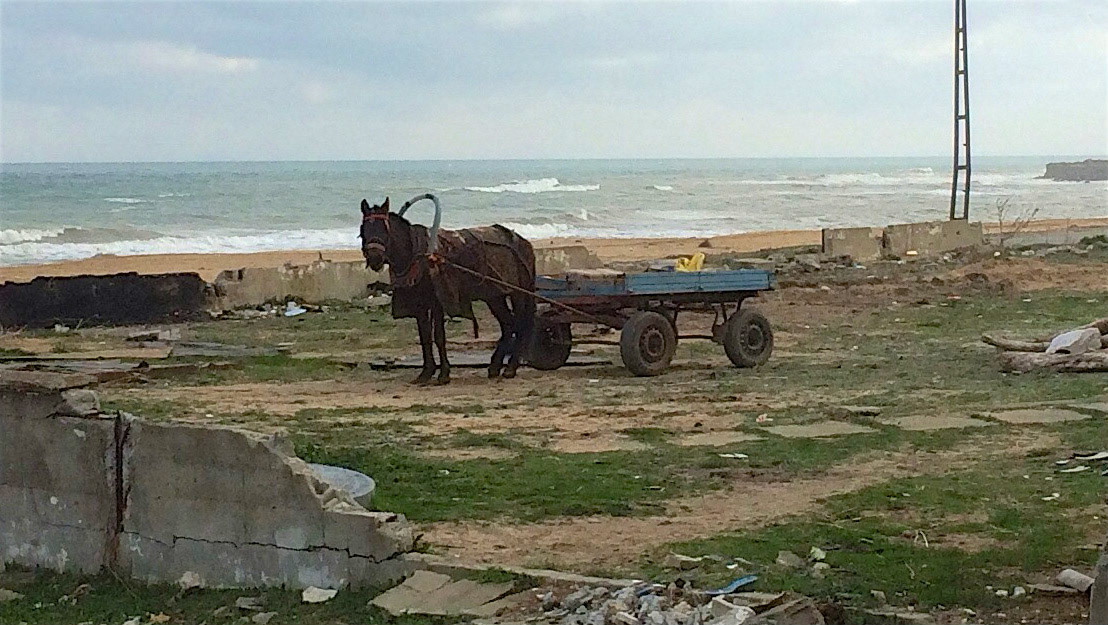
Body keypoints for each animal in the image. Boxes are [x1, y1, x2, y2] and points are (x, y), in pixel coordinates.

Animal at [359, 197, 536, 385]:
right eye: (364, 229)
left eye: (385, 229)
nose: (375, 259)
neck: (419, 256)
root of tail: (524, 242)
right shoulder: (420, 305)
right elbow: (425, 337)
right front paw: (426, 372)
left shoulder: (438, 302)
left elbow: (438, 336)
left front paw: (444, 373)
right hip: (494, 296)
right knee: (508, 325)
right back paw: (495, 366)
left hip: (518, 293)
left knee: (520, 324)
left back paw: (511, 367)